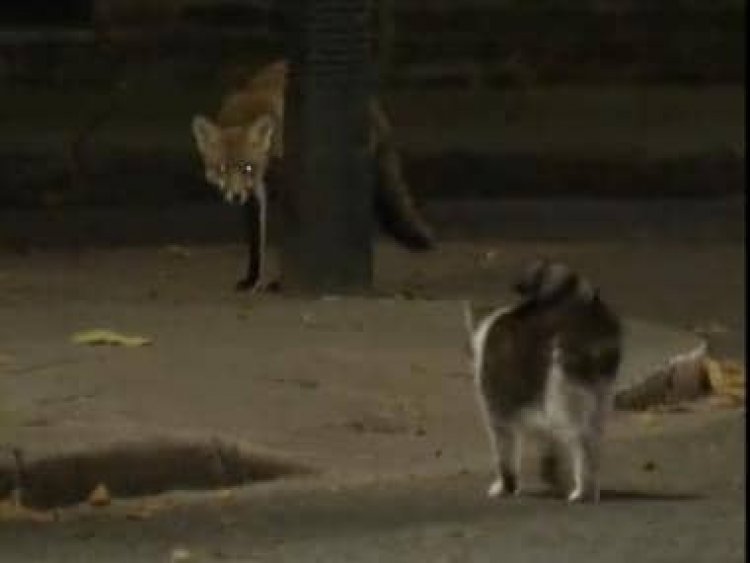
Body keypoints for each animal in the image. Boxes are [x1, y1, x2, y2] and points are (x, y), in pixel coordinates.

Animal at [192, 60, 434, 294]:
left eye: (248, 168)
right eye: (222, 169)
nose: (235, 196)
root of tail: (371, 101)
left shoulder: (282, 192)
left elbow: (284, 241)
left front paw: (277, 282)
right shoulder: (254, 199)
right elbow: (255, 246)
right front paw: (252, 279)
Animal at [470, 262, 624, 504]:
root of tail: (586, 317)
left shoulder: (498, 404)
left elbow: (504, 449)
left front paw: (506, 484)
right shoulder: (533, 405)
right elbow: (546, 439)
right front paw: (550, 471)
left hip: (562, 387)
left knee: (580, 438)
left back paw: (583, 489)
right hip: (600, 391)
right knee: (594, 437)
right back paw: (591, 485)